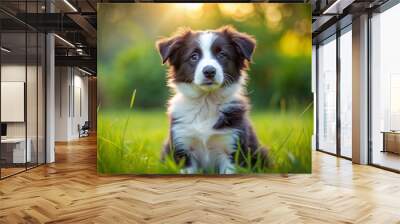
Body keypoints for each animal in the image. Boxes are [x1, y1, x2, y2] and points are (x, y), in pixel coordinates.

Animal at [156, 25, 268, 173]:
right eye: (194, 56)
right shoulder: (183, 148)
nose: (209, 71)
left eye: (222, 55)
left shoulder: (232, 147)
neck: (206, 102)